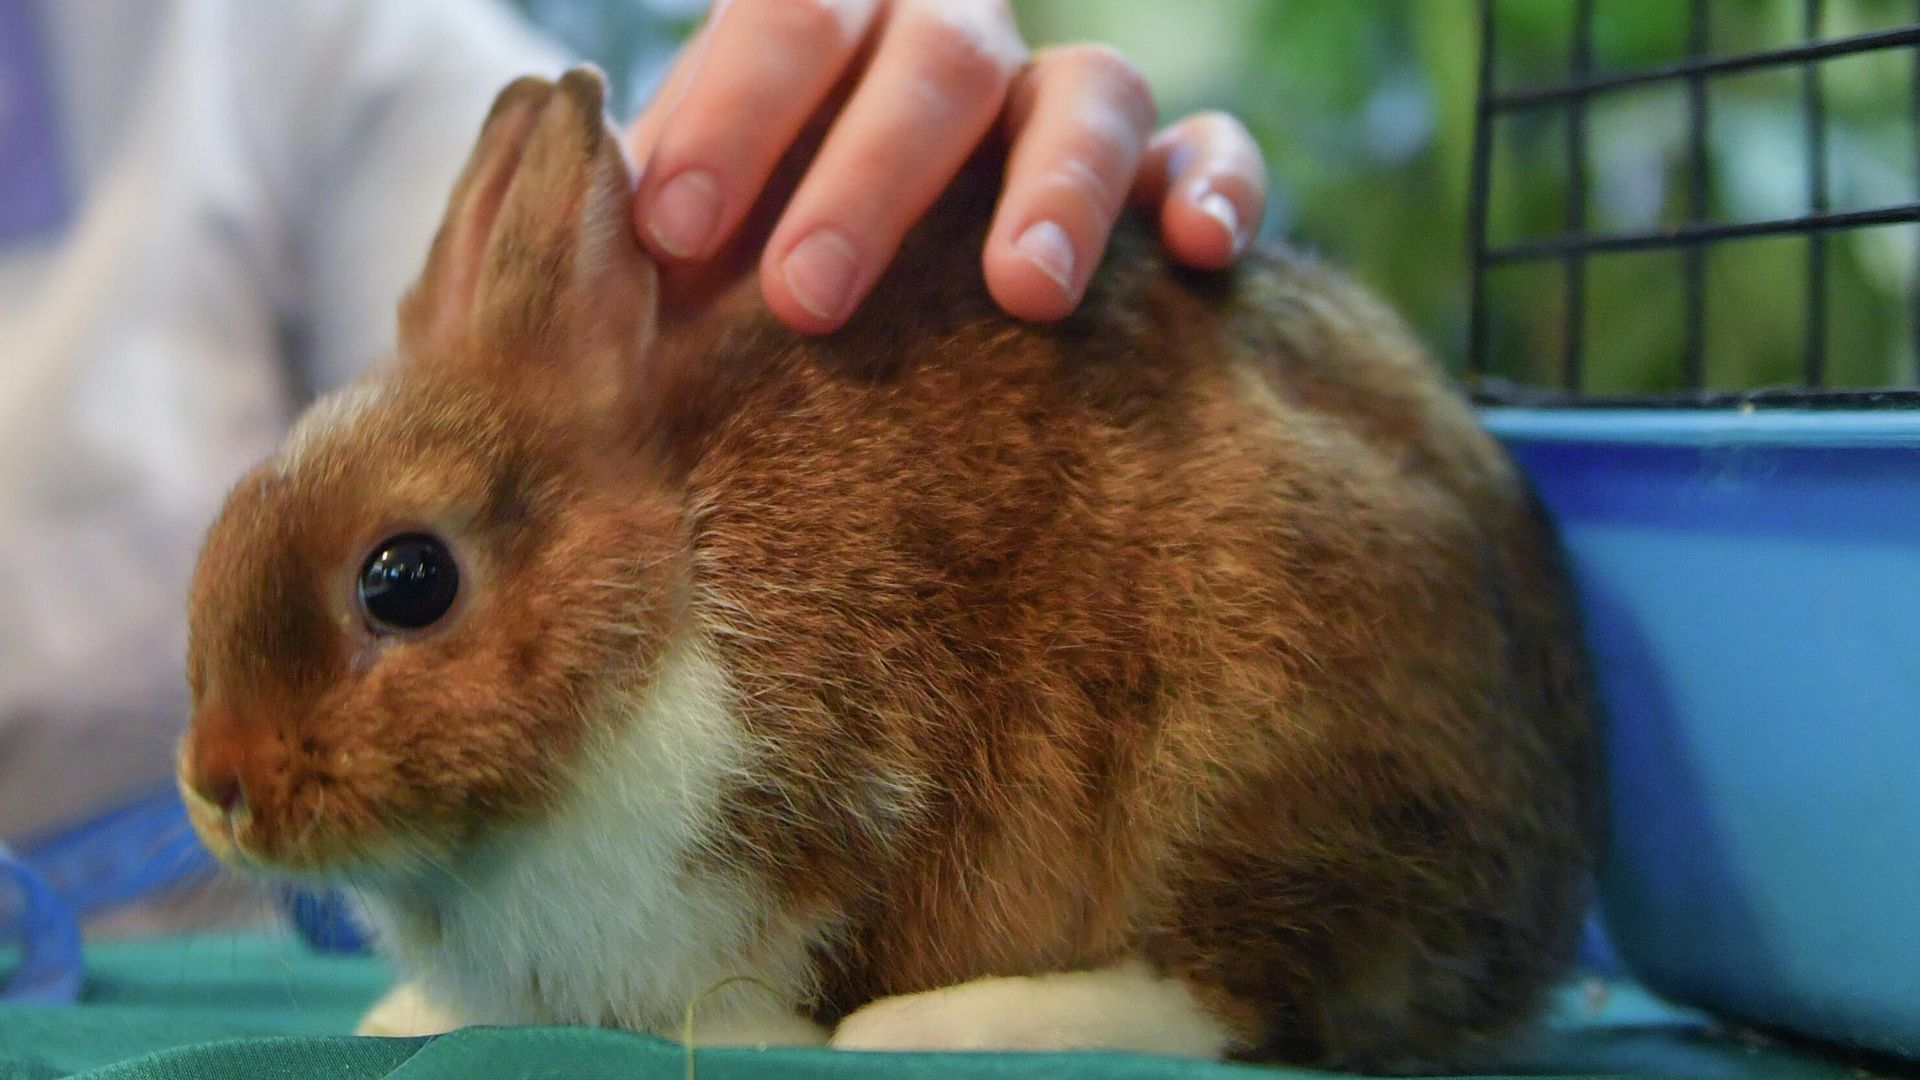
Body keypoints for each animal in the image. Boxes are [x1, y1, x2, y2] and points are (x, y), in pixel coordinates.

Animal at [177, 66, 1599, 1069]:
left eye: (405, 580)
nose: (219, 787)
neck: (662, 599)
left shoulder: (826, 817)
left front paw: (754, 1032)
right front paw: (402, 1014)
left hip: (1254, 744)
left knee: (1234, 995)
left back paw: (940, 1026)